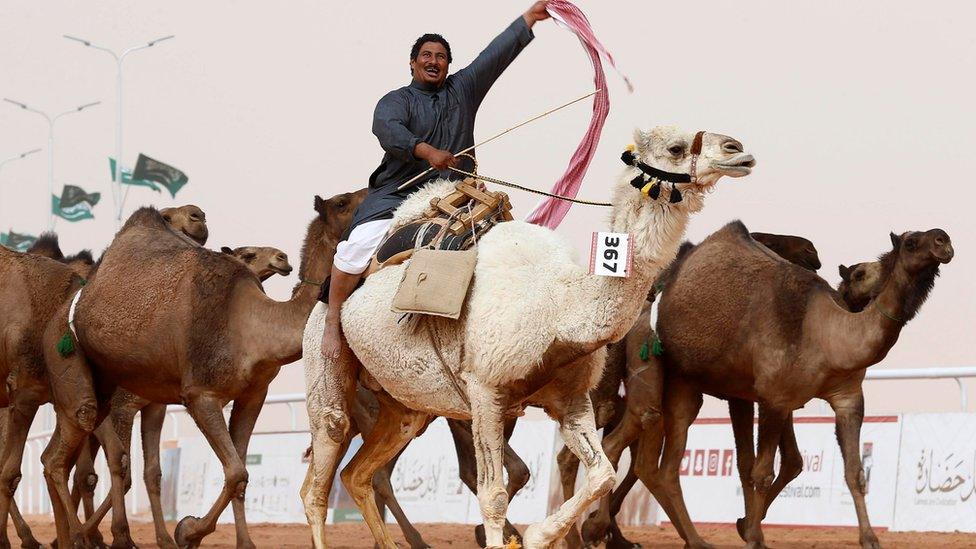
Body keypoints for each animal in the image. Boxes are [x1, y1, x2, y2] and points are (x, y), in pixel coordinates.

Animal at [36, 189, 366, 548]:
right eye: (342, 203)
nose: (282, 258)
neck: (250, 323)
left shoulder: (252, 396)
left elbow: (240, 473)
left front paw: (240, 542)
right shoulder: (199, 395)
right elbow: (234, 471)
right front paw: (186, 531)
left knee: (56, 459)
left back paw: (71, 536)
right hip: (74, 369)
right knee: (70, 456)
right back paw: (84, 536)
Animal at [302, 126, 752, 544]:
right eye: (676, 147)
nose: (738, 150)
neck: (557, 308)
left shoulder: (571, 398)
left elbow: (602, 474)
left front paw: (538, 535)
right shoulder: (484, 391)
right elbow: (493, 495)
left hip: (406, 408)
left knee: (358, 474)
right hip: (327, 372)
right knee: (318, 479)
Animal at [632, 223, 952, 548]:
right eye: (912, 242)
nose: (943, 240)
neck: (827, 335)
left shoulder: (848, 398)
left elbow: (855, 472)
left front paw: (870, 538)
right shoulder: (775, 398)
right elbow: (762, 472)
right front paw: (753, 536)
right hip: (680, 379)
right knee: (668, 466)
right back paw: (697, 539)